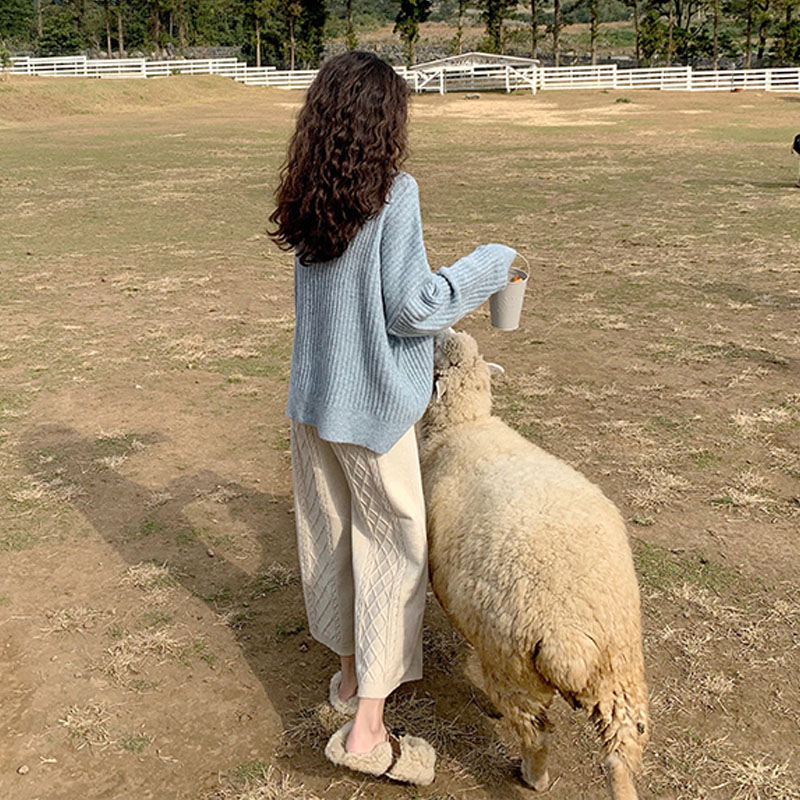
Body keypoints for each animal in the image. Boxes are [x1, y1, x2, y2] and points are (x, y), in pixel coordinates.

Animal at [418, 328, 648, 800]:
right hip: (620, 669)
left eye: (437, 355)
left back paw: (533, 776)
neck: (463, 425)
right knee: (620, 754)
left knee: (535, 734)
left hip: (515, 669)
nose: (442, 328)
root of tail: (569, 636)